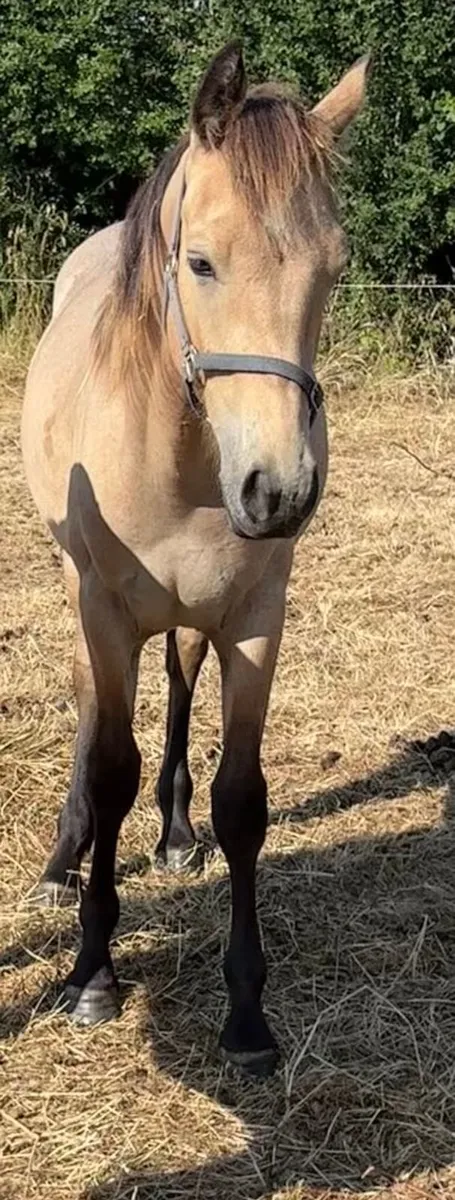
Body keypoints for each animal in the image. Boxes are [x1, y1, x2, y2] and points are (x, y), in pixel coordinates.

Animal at [22, 42, 370, 1076]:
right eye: (201, 261)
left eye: (332, 269)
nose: (278, 491)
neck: (181, 461)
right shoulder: (103, 610)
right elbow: (108, 766)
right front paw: (92, 973)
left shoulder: (254, 618)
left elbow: (242, 800)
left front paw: (246, 1012)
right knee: (92, 715)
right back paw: (61, 862)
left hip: (191, 620)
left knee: (178, 688)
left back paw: (174, 834)